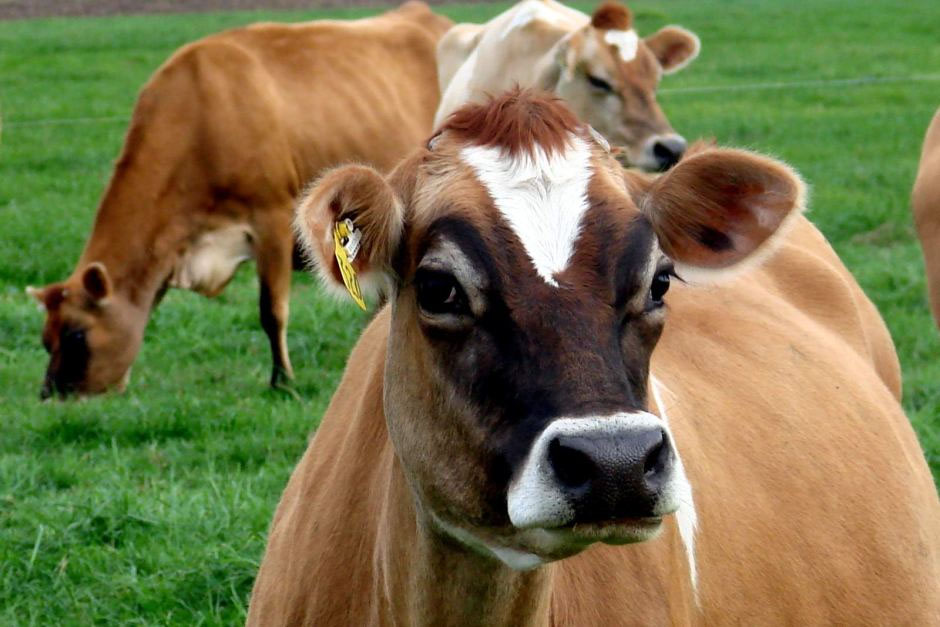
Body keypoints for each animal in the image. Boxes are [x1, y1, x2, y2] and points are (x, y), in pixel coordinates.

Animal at [25, 2, 452, 398]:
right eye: (45, 339)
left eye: (77, 335)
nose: (51, 393)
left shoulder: (272, 220)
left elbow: (272, 311)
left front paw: (283, 380)